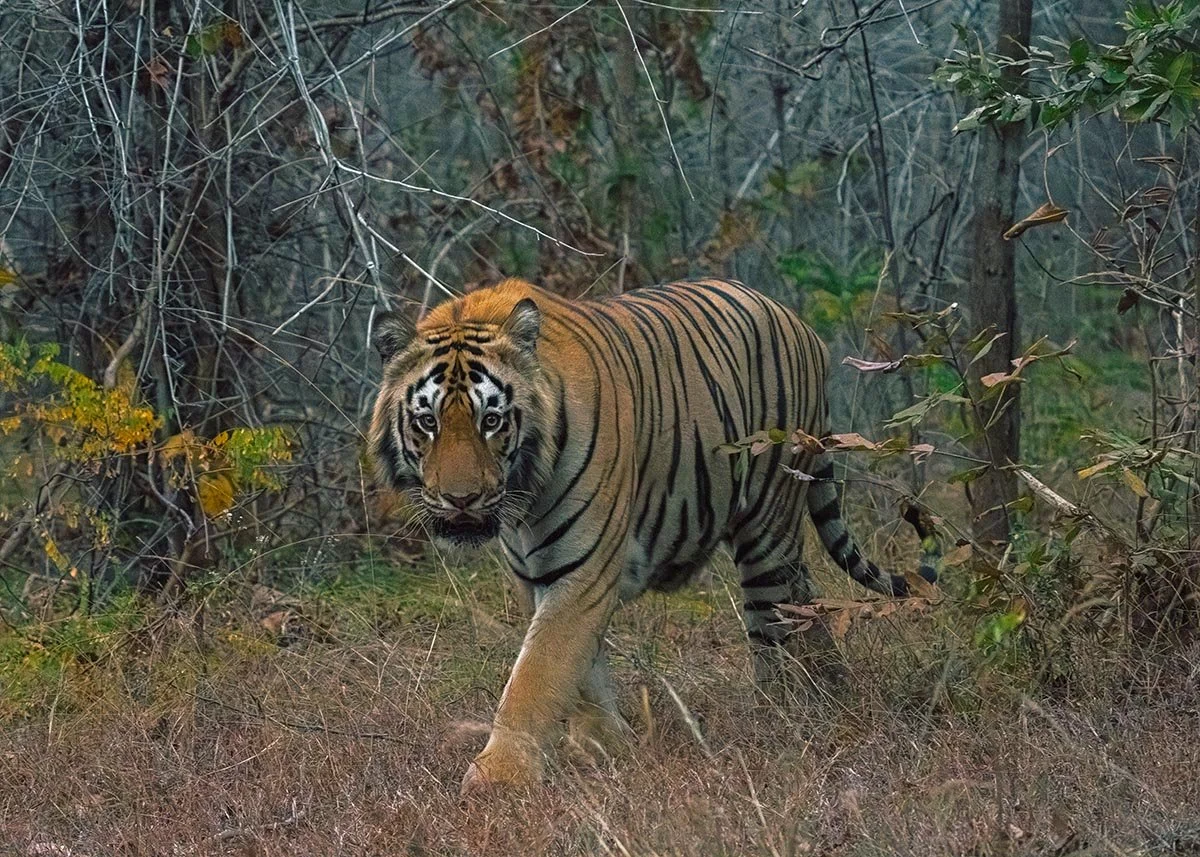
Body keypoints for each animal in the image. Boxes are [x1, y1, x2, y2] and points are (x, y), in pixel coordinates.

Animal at [368, 277, 939, 794]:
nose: (461, 499)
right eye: (427, 422)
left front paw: (498, 780)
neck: (525, 490)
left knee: (773, 626)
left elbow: (536, 674)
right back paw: (830, 689)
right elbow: (579, 670)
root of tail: (802, 326)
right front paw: (607, 742)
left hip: (767, 527)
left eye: (492, 420)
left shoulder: (582, 570)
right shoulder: (541, 574)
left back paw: (782, 715)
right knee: (808, 600)